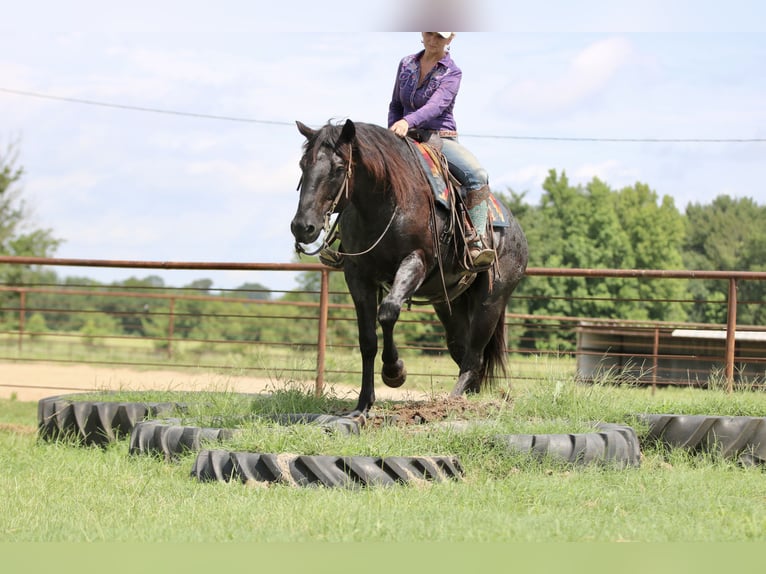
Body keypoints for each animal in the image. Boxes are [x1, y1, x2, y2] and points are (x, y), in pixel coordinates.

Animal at [290, 119, 528, 416]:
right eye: (303, 165)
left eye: (339, 168)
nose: (303, 227)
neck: (387, 202)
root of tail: (516, 231)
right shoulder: (357, 276)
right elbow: (367, 340)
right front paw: (363, 404)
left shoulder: (415, 262)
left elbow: (388, 311)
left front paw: (394, 372)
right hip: (449, 304)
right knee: (461, 349)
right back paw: (466, 400)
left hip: (491, 301)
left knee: (474, 356)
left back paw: (451, 402)